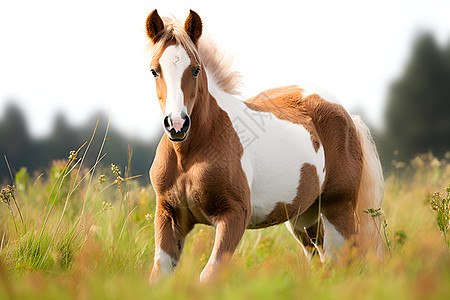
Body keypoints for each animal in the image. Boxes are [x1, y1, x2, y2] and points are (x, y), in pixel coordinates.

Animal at [145, 8, 384, 282]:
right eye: (154, 70)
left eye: (195, 69)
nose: (177, 125)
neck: (189, 154)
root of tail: (347, 114)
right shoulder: (169, 215)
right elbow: (159, 275)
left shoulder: (234, 214)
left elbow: (210, 274)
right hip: (304, 217)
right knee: (319, 258)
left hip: (337, 207)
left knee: (342, 262)